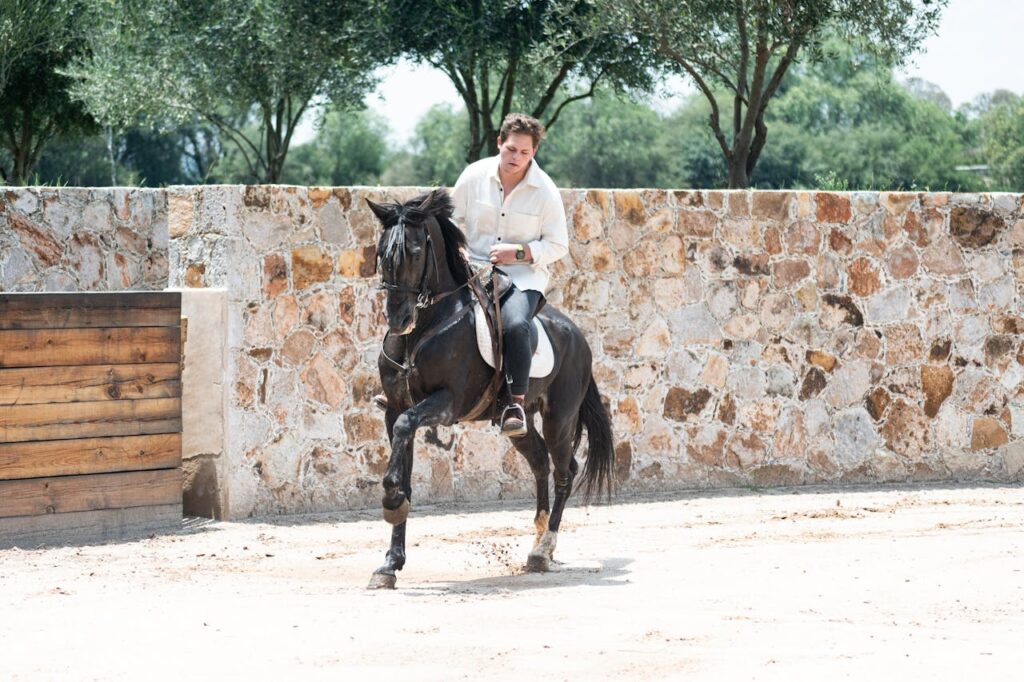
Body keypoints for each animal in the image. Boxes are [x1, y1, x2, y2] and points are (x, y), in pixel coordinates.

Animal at [365, 188, 614, 590]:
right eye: (382, 253)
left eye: (416, 252)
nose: (399, 319)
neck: (424, 329)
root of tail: (578, 336)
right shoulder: (395, 408)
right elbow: (403, 471)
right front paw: (389, 563)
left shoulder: (445, 404)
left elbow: (405, 432)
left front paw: (391, 504)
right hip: (520, 423)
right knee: (540, 462)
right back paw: (539, 542)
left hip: (560, 419)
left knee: (565, 471)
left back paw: (544, 550)